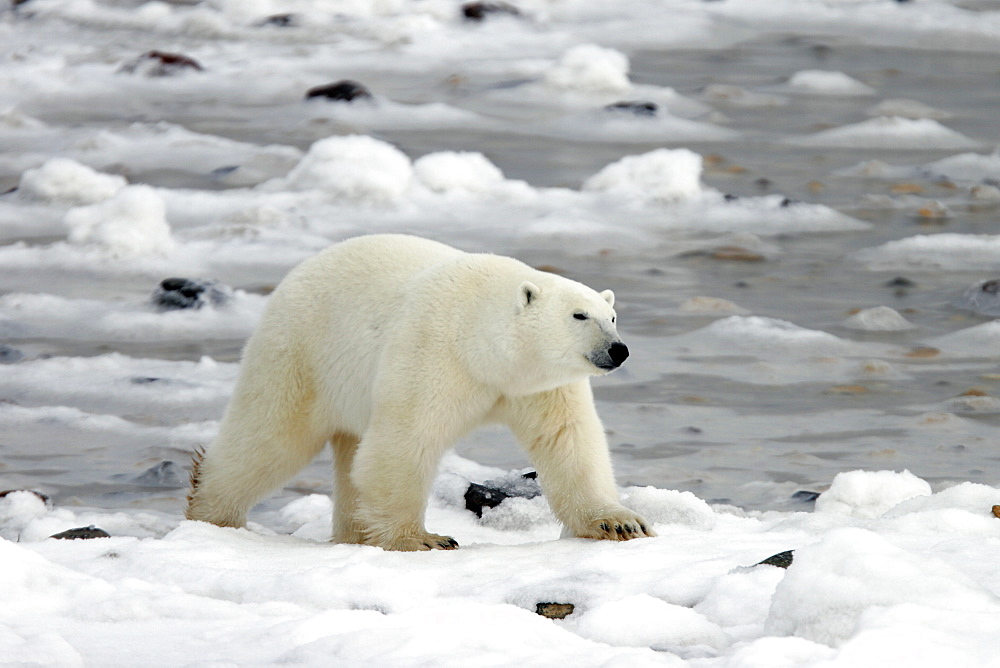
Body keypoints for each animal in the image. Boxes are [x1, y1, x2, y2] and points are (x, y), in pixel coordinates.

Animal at [186, 234, 656, 548]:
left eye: (612, 316)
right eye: (579, 315)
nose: (618, 350)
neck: (482, 343)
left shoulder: (543, 386)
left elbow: (569, 442)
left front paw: (620, 523)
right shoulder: (433, 351)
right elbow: (406, 439)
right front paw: (422, 539)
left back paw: (353, 534)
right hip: (301, 351)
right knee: (270, 436)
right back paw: (211, 514)